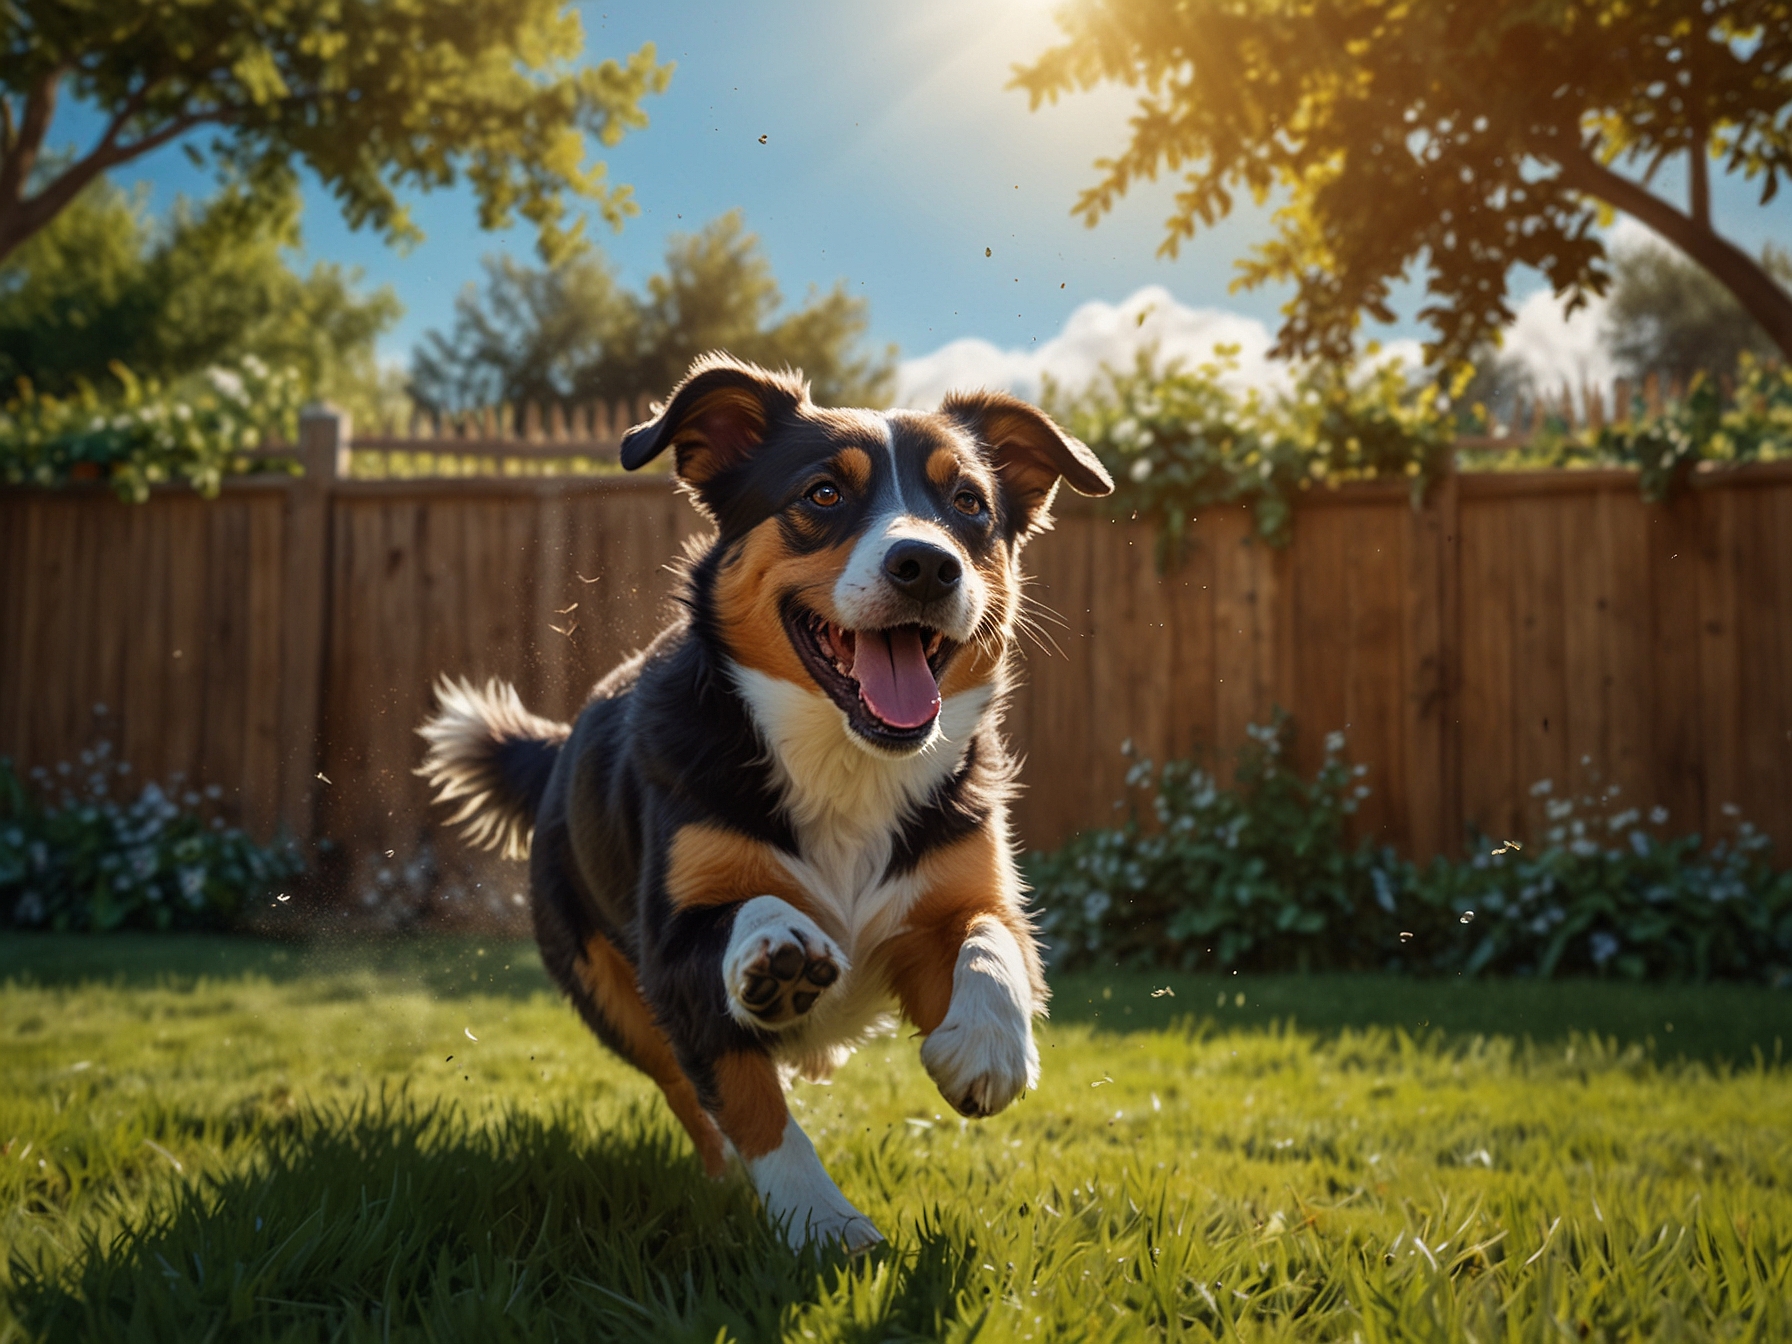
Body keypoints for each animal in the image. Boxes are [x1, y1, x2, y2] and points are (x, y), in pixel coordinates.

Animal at [415, 353, 1103, 1247]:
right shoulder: (674, 954)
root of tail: (560, 747)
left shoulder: (952, 891)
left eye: (968, 504)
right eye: (823, 493)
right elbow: (750, 1095)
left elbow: (991, 939)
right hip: (609, 990)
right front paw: (821, 1223)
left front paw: (986, 1046)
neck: (845, 762)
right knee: (687, 1091)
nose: (927, 564)